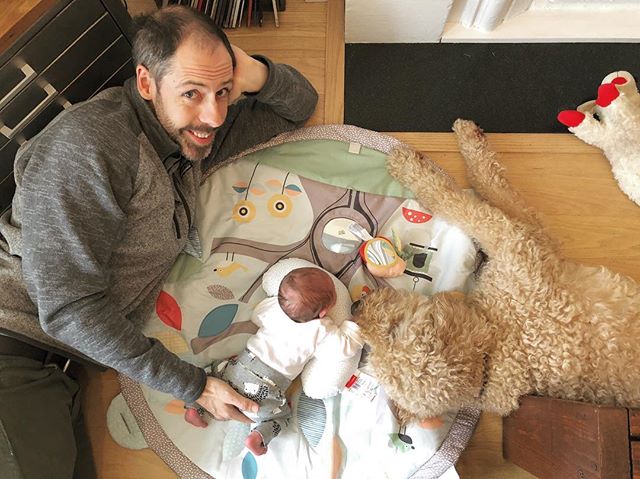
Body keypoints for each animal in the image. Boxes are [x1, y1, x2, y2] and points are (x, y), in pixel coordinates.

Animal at [356, 120, 640, 424]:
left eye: (394, 330)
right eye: (372, 351)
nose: (357, 306)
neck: (495, 341)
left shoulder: (512, 239)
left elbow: (463, 196)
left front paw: (420, 160)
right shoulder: (525, 237)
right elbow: (483, 192)